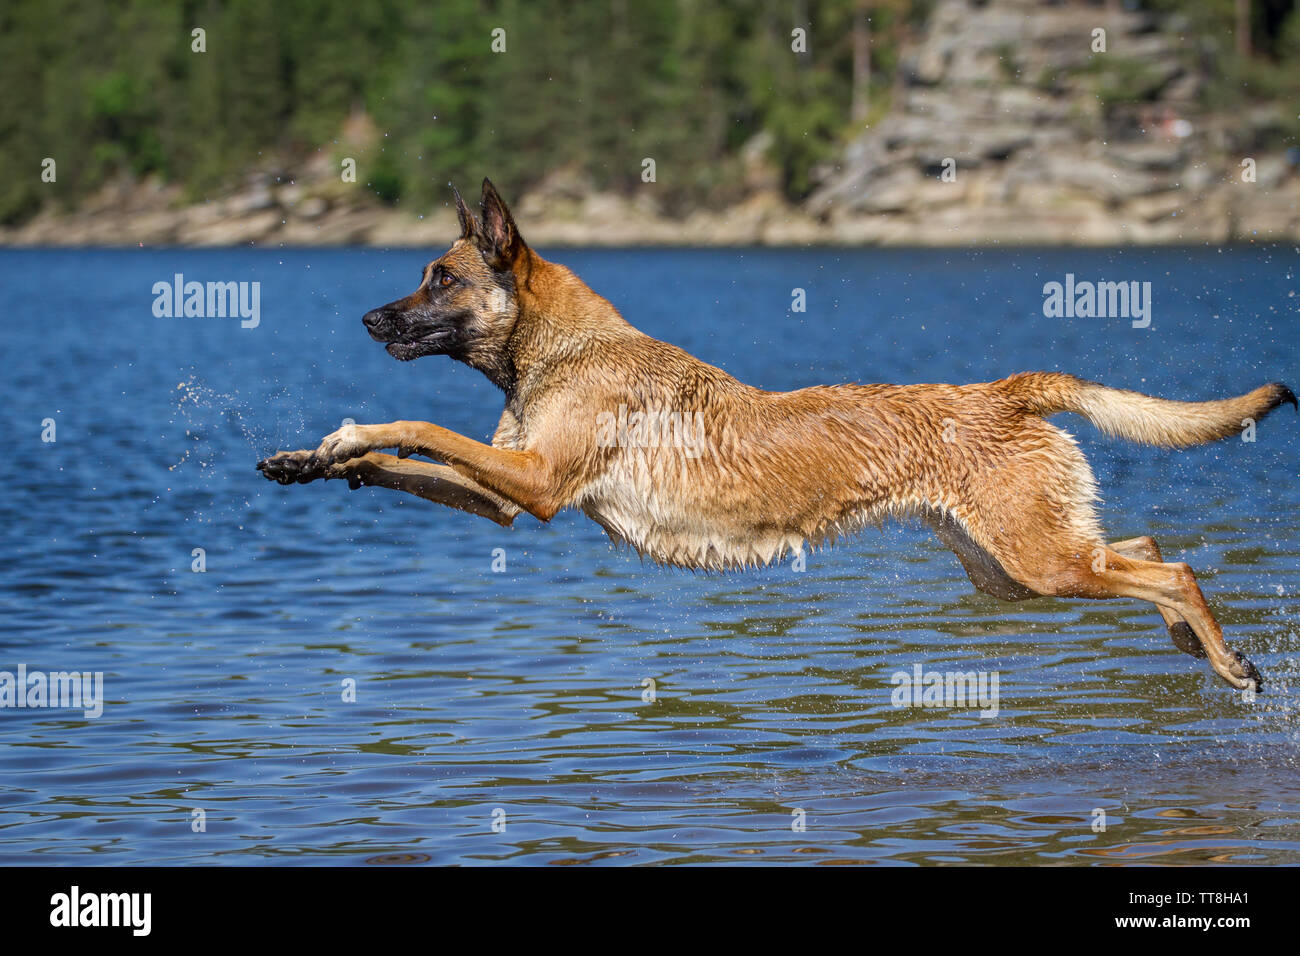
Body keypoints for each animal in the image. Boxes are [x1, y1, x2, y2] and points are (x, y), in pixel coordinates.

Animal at [258, 178, 1294, 686]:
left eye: (439, 278)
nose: (367, 321)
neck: (558, 349)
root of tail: (1005, 390)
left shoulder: (538, 484)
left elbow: (415, 421)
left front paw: (346, 431)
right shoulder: (511, 495)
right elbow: (400, 460)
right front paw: (314, 459)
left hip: (1036, 564)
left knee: (1175, 567)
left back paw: (1229, 662)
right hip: (1014, 571)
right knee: (1146, 549)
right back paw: (1195, 646)